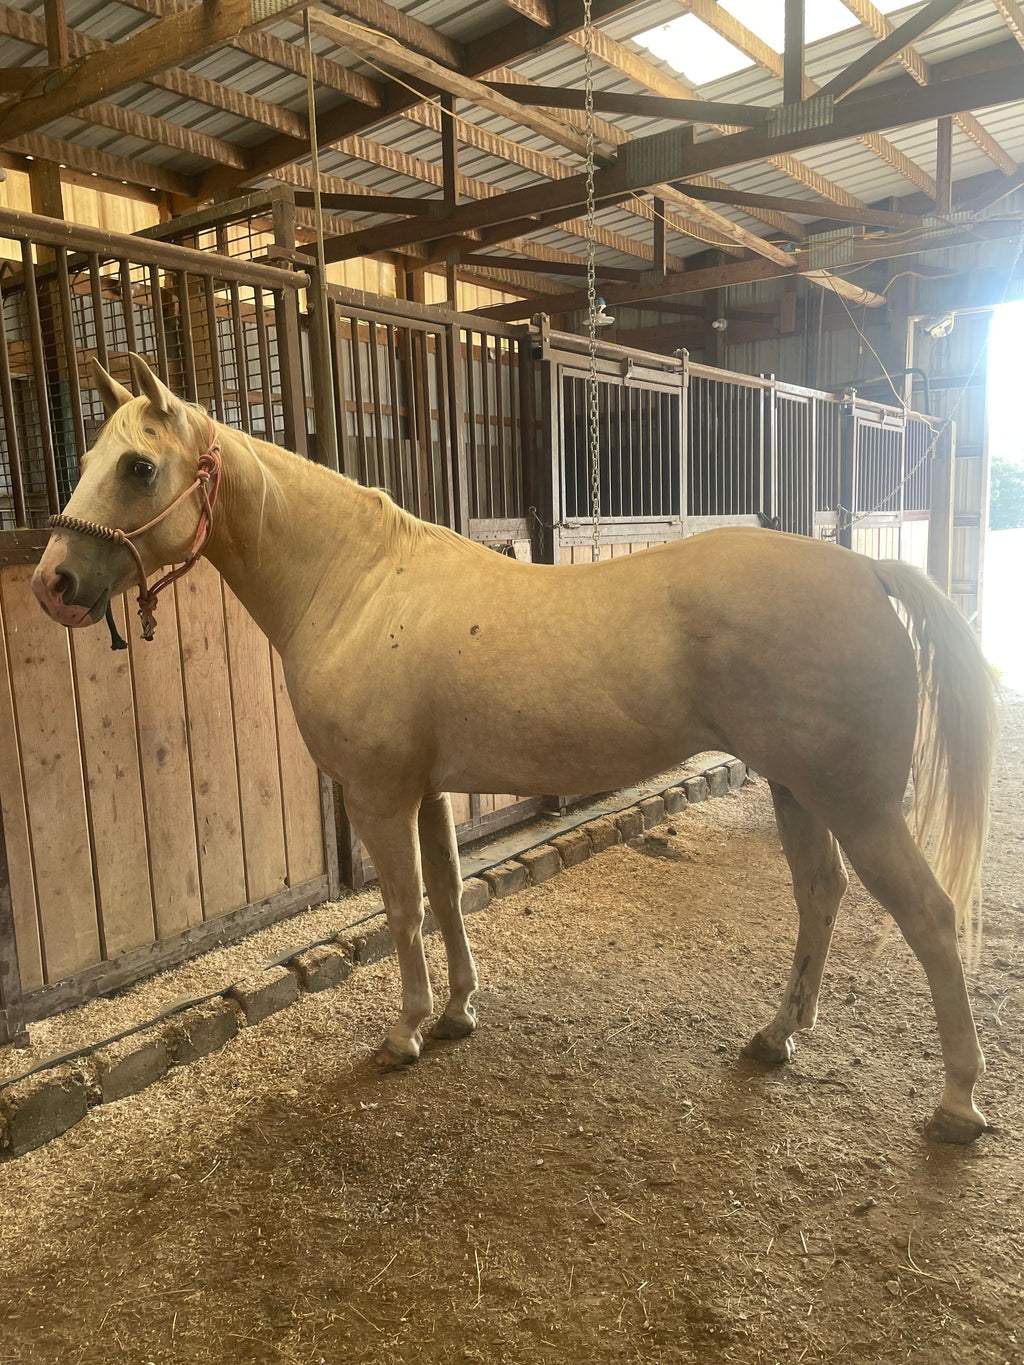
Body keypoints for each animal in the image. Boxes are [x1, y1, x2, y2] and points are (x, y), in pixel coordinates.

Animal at [31, 354, 998, 1144]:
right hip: (799, 789)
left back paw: (958, 1103)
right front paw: (459, 1011)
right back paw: (776, 1035)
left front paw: (405, 1030)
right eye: (85, 460)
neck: (357, 586)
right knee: (819, 895)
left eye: (138, 466)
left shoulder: (380, 796)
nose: (52, 583)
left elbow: (402, 909)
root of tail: (866, 569)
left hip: (858, 804)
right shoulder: (427, 792)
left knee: (929, 916)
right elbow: (450, 894)